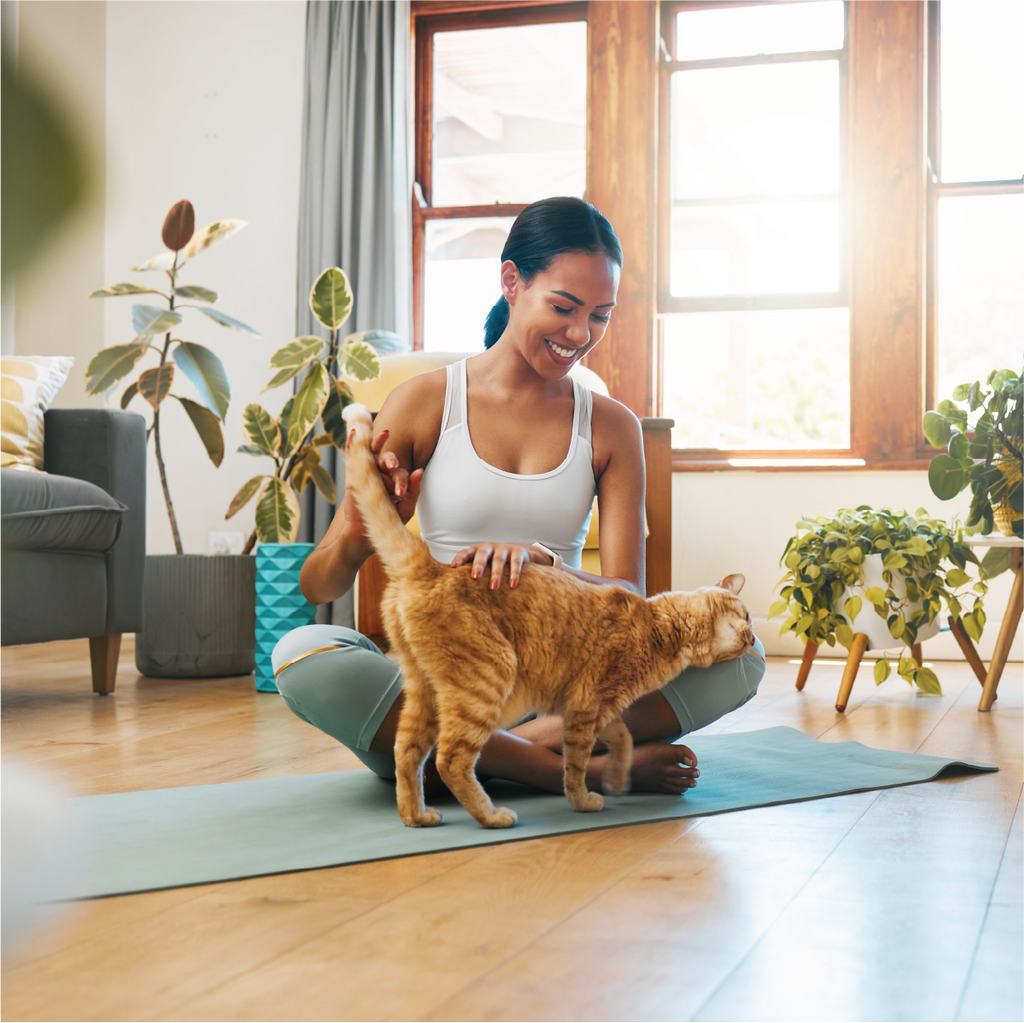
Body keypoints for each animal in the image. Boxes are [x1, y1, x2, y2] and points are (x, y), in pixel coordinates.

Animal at [342, 403, 753, 827]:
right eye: (749, 617)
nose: (753, 638)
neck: (659, 626)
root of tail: (431, 567)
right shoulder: (586, 704)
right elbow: (576, 762)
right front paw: (583, 799)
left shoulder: (599, 709)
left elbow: (620, 737)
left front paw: (618, 776)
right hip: (489, 678)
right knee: (450, 757)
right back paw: (491, 815)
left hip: (423, 691)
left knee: (407, 750)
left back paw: (417, 816)